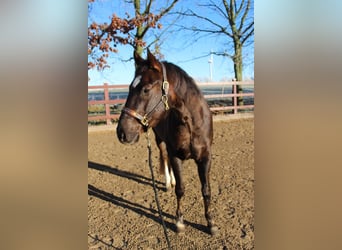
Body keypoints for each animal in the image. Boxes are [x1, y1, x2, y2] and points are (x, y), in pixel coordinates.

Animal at [116, 49, 218, 236]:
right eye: (129, 88)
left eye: (146, 89)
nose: (122, 132)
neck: (190, 123)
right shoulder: (175, 155)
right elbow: (180, 189)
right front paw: (179, 222)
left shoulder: (205, 158)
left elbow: (206, 190)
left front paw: (210, 223)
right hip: (161, 142)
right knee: (164, 158)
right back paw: (168, 183)